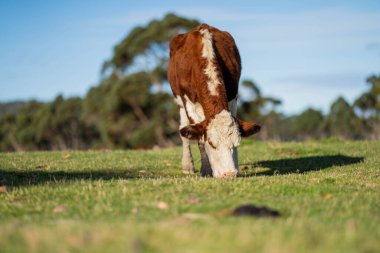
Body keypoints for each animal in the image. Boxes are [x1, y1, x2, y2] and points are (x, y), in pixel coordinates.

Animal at [169, 23, 262, 178]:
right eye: (212, 144)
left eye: (236, 143)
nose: (229, 174)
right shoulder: (188, 102)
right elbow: (199, 138)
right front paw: (206, 169)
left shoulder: (233, 97)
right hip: (178, 101)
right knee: (184, 130)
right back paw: (187, 166)